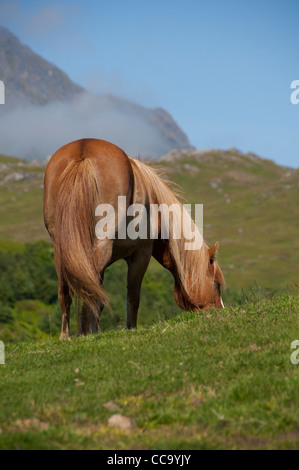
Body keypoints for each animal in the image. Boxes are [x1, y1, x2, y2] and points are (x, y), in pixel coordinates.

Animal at [42, 138, 225, 340]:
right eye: (217, 284)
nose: (220, 312)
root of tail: (84, 150)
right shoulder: (140, 255)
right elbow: (132, 297)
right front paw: (130, 329)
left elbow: (100, 297)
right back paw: (84, 332)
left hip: (61, 248)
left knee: (66, 291)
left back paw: (67, 335)